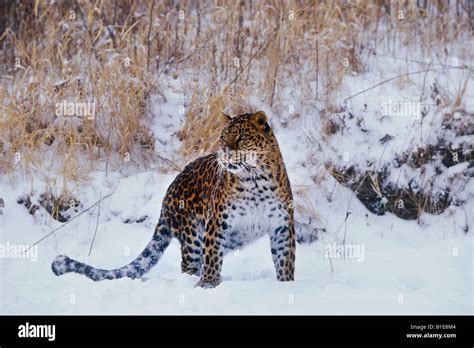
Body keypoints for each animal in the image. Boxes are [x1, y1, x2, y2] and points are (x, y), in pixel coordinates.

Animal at [52, 110, 296, 286]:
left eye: (242, 137)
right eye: (223, 137)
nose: (225, 153)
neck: (256, 180)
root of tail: (167, 198)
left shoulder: (282, 226)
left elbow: (285, 260)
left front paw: (286, 286)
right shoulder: (217, 224)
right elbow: (212, 259)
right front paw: (207, 286)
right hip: (193, 235)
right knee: (191, 264)